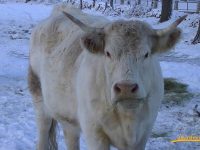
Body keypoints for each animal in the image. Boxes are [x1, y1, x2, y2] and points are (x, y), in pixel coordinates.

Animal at [28, 3, 186, 150]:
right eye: (108, 53)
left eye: (146, 54)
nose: (126, 88)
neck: (128, 117)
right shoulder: (94, 132)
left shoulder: (144, 133)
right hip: (39, 98)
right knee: (43, 132)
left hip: (68, 118)